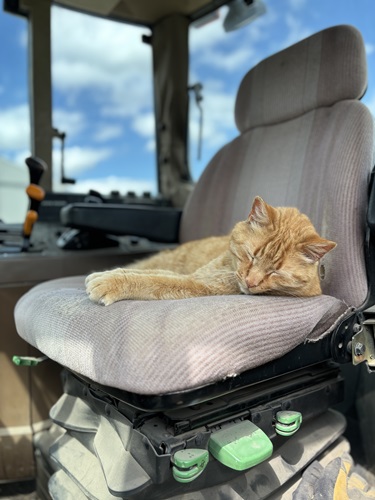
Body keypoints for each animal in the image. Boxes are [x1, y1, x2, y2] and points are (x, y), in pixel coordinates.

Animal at [86, 196, 338, 304]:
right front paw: (110, 274)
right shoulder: (193, 274)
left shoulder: (196, 283)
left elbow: (153, 281)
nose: (251, 282)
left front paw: (110, 281)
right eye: (251, 255)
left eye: (275, 272)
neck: (227, 265)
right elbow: (148, 274)